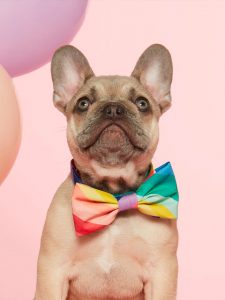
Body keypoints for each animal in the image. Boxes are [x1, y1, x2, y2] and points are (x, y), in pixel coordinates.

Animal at [35, 43, 178, 298]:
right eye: (83, 103)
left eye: (142, 103)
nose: (113, 108)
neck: (114, 194)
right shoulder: (52, 271)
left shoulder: (162, 274)